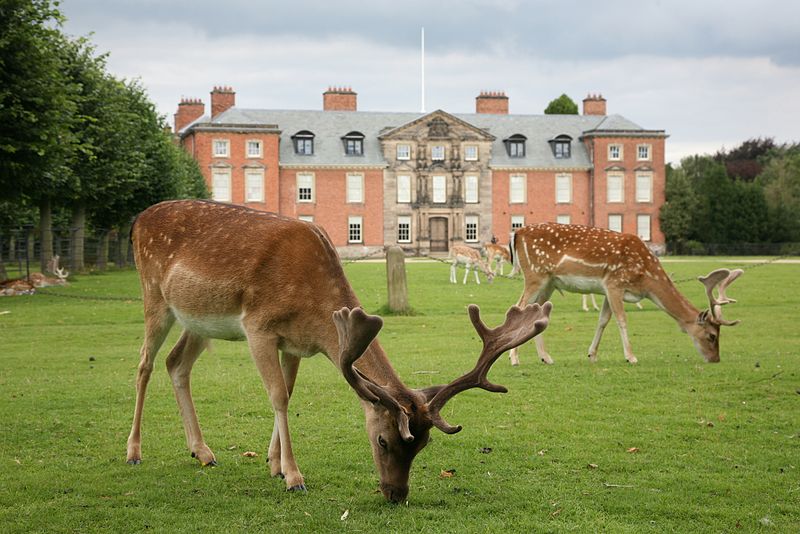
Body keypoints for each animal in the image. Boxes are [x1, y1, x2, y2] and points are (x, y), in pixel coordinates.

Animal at [126, 199, 552, 504]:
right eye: (383, 441)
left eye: (424, 444)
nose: (396, 495)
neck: (314, 311)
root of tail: (138, 220)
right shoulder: (258, 328)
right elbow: (278, 397)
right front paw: (294, 477)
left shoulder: (293, 343)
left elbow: (288, 393)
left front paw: (274, 464)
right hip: (154, 296)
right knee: (145, 364)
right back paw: (134, 451)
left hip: (198, 321)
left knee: (176, 364)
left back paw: (202, 451)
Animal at [510, 223, 740, 368]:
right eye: (712, 335)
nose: (715, 359)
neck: (645, 278)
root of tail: (517, 233)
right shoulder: (615, 283)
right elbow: (621, 319)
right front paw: (631, 357)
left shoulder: (607, 289)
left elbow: (603, 320)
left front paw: (592, 355)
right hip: (535, 275)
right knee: (518, 308)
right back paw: (514, 359)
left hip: (548, 282)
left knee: (536, 312)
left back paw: (546, 358)